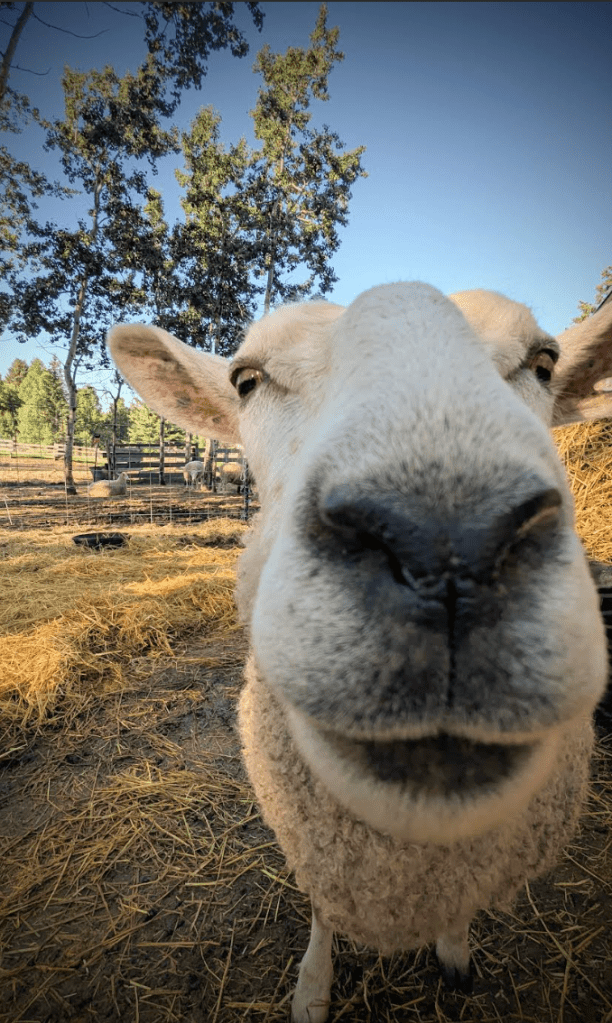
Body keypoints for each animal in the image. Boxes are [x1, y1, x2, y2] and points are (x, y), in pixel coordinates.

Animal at [108, 283, 612, 1022]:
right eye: (247, 381)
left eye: (543, 364)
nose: (447, 548)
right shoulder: (315, 840)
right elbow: (322, 908)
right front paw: (313, 988)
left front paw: (454, 950)